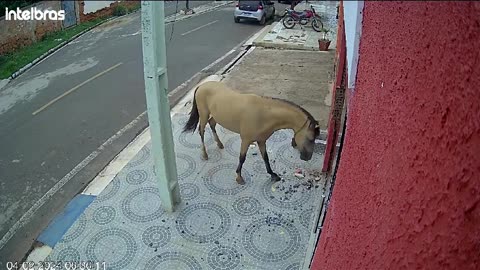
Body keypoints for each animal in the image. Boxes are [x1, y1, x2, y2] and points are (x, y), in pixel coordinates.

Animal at [182, 81, 320, 185]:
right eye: (311, 138)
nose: (308, 157)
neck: (264, 114)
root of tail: (201, 86)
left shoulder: (261, 141)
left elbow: (265, 157)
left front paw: (273, 175)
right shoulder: (246, 140)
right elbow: (242, 158)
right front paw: (239, 178)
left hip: (216, 116)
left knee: (212, 124)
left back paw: (219, 144)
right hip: (203, 114)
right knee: (201, 131)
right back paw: (205, 154)